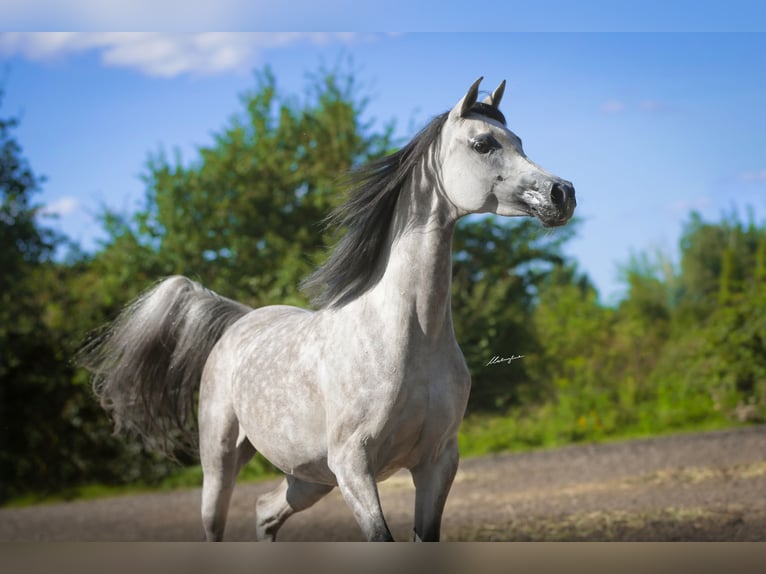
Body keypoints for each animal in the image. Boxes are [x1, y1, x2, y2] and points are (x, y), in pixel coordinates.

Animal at [77, 77, 576, 542]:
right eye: (483, 143)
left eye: (519, 142)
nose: (562, 193)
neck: (409, 336)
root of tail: (239, 321)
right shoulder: (354, 465)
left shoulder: (437, 463)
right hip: (222, 459)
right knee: (217, 522)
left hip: (309, 477)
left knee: (264, 511)